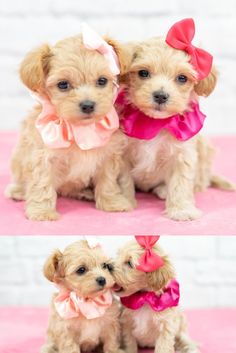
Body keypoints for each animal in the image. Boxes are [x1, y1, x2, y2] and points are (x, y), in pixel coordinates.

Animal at [4, 27, 136, 219]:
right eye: (63, 85)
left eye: (102, 81)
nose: (88, 105)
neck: (80, 128)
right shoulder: (42, 157)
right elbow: (42, 185)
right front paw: (42, 211)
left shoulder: (109, 155)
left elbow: (108, 181)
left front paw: (112, 202)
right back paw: (18, 191)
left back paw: (84, 193)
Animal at [117, 18, 235, 220]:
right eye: (143, 73)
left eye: (182, 78)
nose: (160, 96)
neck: (156, 122)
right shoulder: (122, 153)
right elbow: (124, 180)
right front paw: (125, 201)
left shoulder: (183, 154)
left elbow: (181, 183)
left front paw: (182, 210)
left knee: (201, 180)